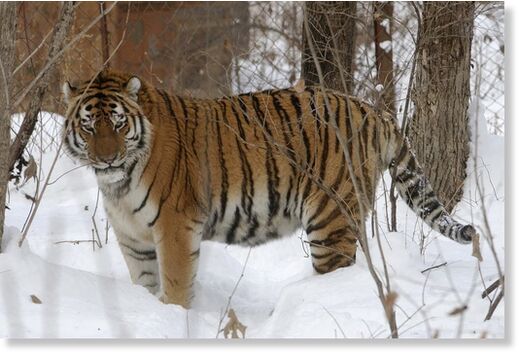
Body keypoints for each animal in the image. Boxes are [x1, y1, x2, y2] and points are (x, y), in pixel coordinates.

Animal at [62, 70, 476, 308]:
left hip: (331, 220)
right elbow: (145, 283)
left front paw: (175, 317)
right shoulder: (133, 237)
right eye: (89, 126)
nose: (108, 159)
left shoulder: (174, 227)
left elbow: (176, 286)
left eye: (118, 124)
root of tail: (372, 110)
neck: (119, 183)